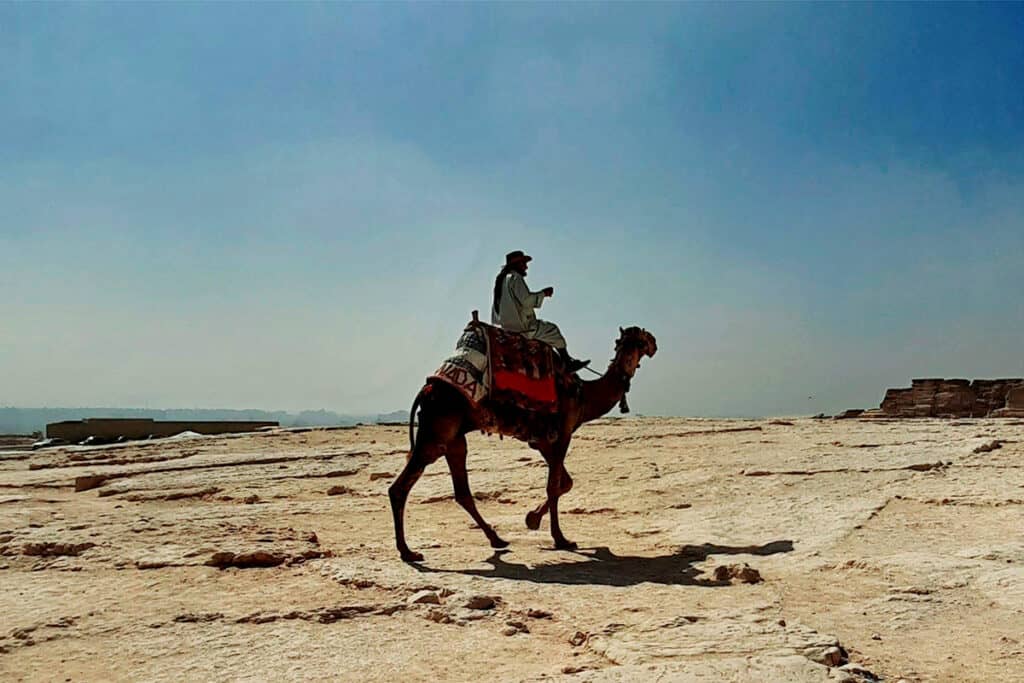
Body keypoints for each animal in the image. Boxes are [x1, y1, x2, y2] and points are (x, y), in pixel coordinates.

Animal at [387, 325, 659, 561]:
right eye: (643, 338)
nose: (655, 343)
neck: (584, 394)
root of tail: (427, 388)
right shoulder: (562, 432)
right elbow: (554, 486)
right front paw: (561, 539)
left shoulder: (541, 440)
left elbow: (565, 482)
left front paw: (532, 519)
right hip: (436, 433)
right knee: (400, 487)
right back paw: (408, 552)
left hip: (454, 438)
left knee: (462, 491)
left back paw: (497, 540)